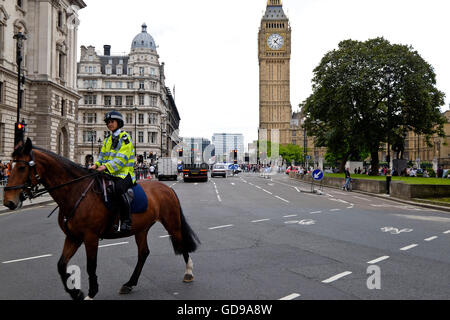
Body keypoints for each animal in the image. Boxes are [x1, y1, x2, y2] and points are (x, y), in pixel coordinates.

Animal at [2, 139, 199, 302]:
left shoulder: (90, 237)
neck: (76, 192)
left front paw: (91, 293)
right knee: (143, 253)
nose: (8, 201)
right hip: (141, 228)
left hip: (171, 222)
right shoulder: (73, 237)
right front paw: (76, 293)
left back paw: (189, 272)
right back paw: (129, 284)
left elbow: (91, 265)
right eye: (11, 166)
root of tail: (166, 187)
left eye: (21, 168)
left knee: (181, 241)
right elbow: (61, 265)